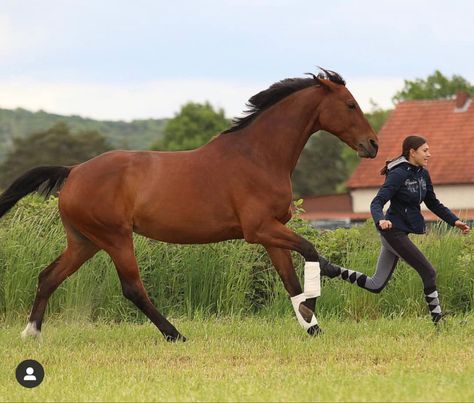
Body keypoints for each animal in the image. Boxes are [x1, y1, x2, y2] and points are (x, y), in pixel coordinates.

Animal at [0, 68, 378, 340]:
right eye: (350, 105)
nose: (373, 145)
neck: (258, 155)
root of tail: (73, 171)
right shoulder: (259, 229)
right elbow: (311, 252)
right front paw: (317, 299)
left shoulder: (272, 233)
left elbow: (290, 280)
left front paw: (312, 325)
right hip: (115, 238)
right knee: (132, 288)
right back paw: (175, 334)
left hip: (84, 242)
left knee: (48, 276)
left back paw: (31, 333)